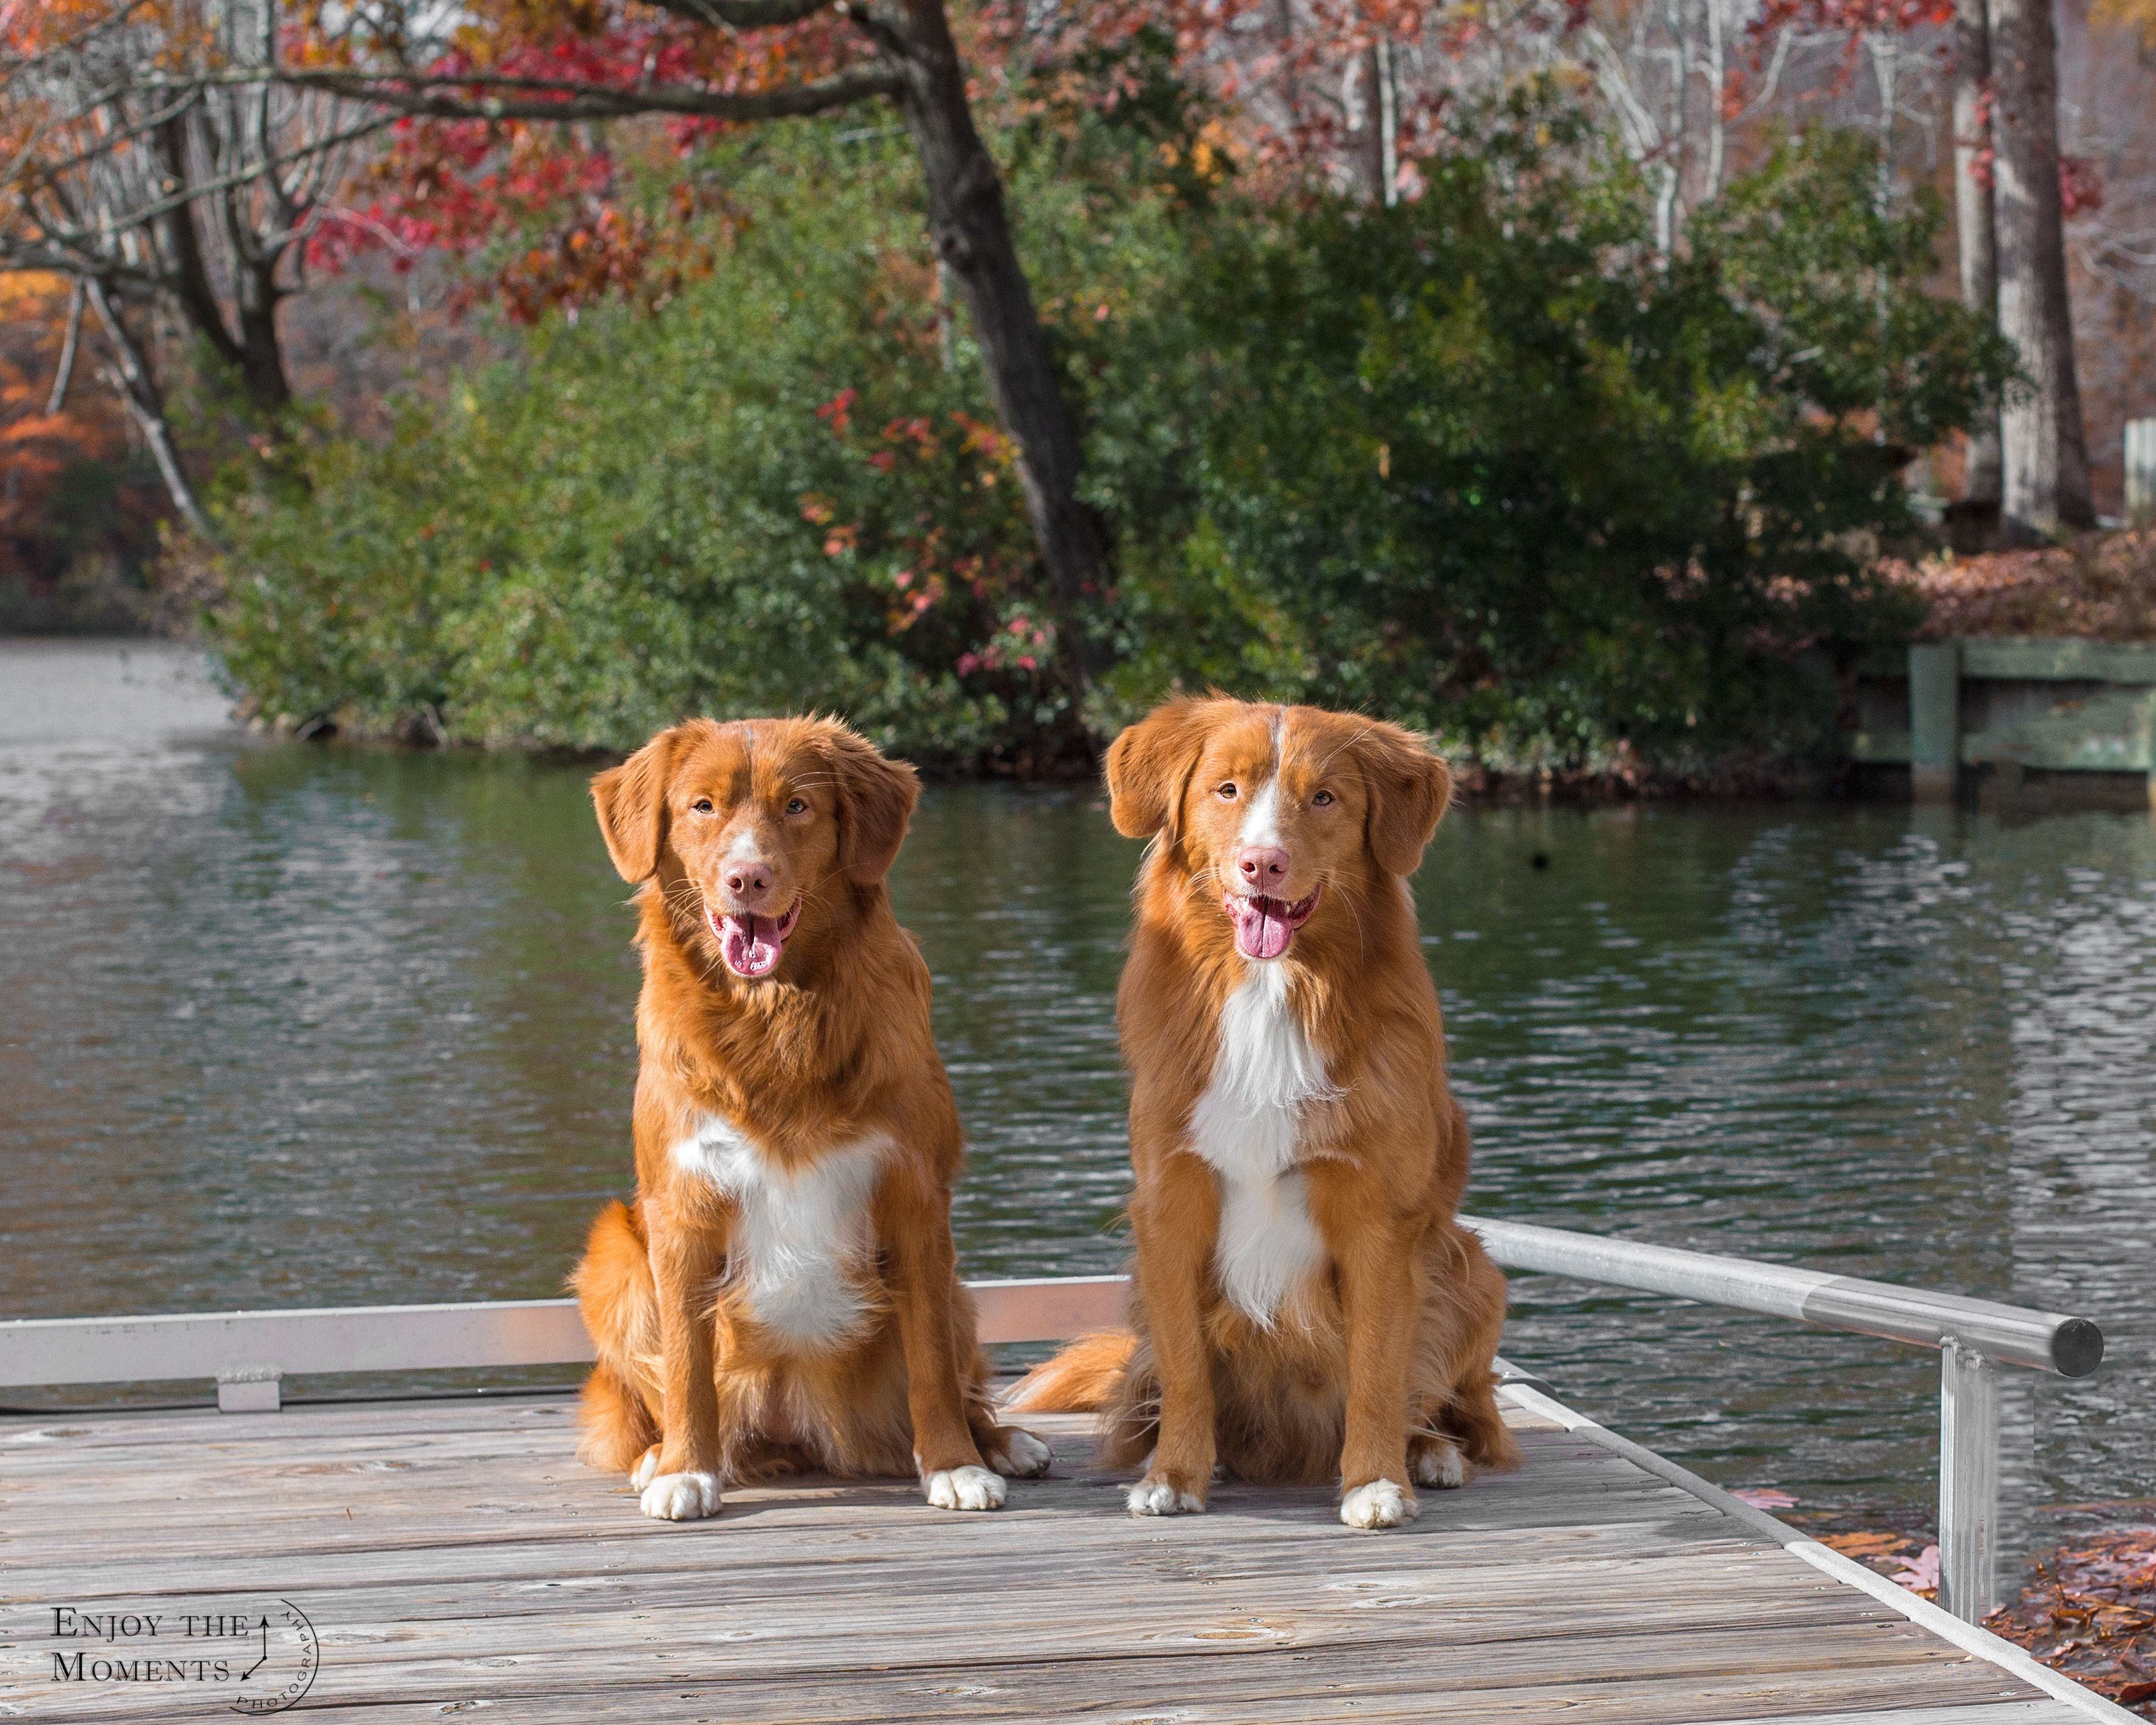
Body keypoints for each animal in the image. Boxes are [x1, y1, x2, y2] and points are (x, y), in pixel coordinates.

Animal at [569, 716, 1047, 1526]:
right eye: (702, 806)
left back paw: (1000, 1442)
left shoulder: (916, 1198)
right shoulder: (680, 1208)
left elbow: (931, 1365)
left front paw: (954, 1464)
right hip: (615, 1255)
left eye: (796, 806)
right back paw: (656, 1456)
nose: (747, 878)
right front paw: (686, 1469)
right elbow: (687, 1364)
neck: (776, 1016)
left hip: (958, 1289)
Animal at [1017, 694, 1526, 1526]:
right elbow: (1186, 1368)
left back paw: (1432, 1451)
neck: (1270, 990)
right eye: (1226, 789)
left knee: (1458, 1400)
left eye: (1323, 797)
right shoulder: (1171, 1203)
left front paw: (1375, 1481)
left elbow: (1379, 1371)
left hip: (1474, 1268)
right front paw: (1175, 1476)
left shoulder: (1378, 1220)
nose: (1264, 863)